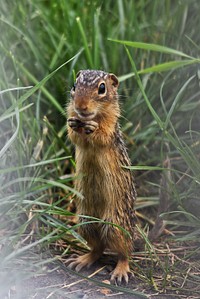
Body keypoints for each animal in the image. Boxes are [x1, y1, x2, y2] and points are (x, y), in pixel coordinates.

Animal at [67, 69, 138, 284]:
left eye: (101, 88)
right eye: (74, 85)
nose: (81, 106)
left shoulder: (110, 127)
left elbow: (102, 136)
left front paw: (92, 127)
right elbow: (74, 136)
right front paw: (73, 123)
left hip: (116, 227)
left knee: (124, 252)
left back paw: (121, 270)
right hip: (86, 224)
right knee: (97, 249)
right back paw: (82, 260)